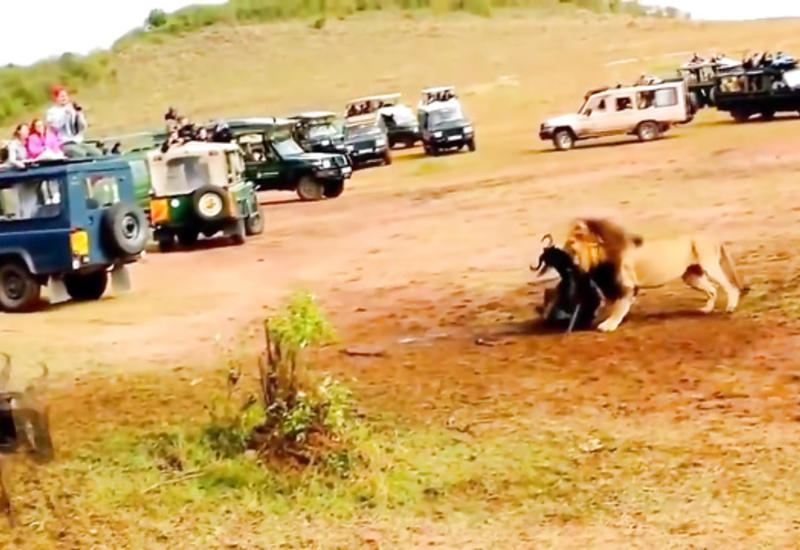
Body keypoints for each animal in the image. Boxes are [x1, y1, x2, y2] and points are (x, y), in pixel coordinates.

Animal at [562, 218, 747, 332]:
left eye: (570, 244)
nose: (562, 252)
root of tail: (713, 237)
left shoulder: (627, 286)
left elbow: (618, 307)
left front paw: (608, 325)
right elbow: (609, 305)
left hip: (710, 265)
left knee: (729, 286)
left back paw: (730, 307)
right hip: (692, 276)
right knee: (712, 290)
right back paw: (706, 309)